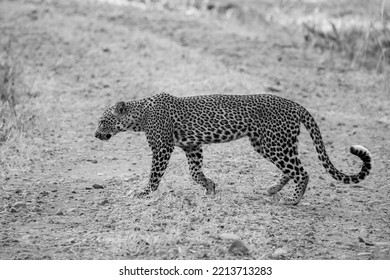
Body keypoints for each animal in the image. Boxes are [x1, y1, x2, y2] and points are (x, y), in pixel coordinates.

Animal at [94, 93, 372, 205]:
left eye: (102, 121)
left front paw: (144, 193)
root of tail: (294, 104)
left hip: (274, 143)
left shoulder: (162, 148)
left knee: (302, 172)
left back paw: (292, 200)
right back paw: (273, 189)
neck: (138, 116)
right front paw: (209, 187)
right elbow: (195, 172)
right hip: (271, 143)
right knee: (292, 168)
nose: (96, 134)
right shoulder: (192, 146)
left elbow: (155, 175)